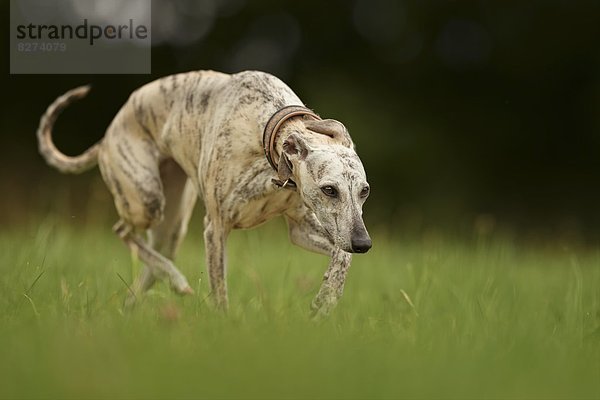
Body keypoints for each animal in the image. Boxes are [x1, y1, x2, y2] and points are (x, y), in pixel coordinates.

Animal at [37, 71, 370, 316]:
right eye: (329, 189)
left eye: (365, 191)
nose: (364, 244)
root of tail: (105, 138)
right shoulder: (216, 228)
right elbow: (219, 289)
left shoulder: (301, 228)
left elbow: (342, 256)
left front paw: (326, 299)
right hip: (146, 199)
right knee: (122, 230)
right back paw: (175, 279)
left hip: (171, 227)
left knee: (149, 261)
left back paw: (147, 298)